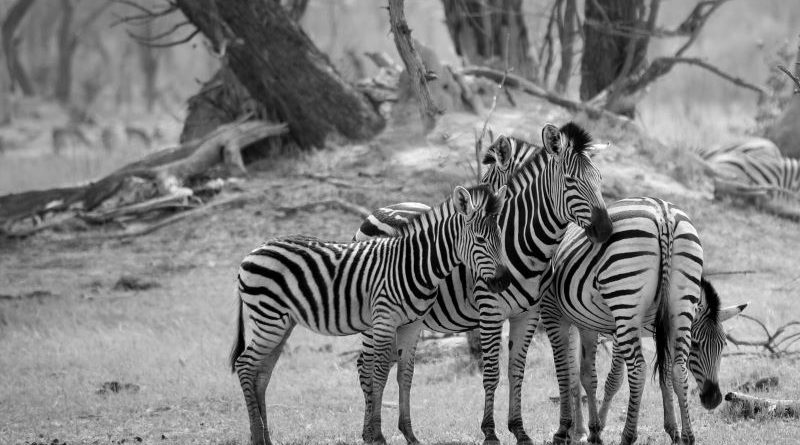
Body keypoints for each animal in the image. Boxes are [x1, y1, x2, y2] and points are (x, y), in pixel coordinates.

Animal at [230, 184, 510, 445]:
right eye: (480, 240)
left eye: (501, 237)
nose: (504, 281)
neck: (414, 265)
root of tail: (254, 251)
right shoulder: (385, 320)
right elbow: (379, 372)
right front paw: (377, 435)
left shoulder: (411, 325)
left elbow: (405, 375)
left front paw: (409, 434)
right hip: (269, 318)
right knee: (245, 365)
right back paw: (257, 436)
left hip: (282, 324)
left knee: (261, 374)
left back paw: (266, 438)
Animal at [354, 122, 613, 445]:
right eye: (570, 181)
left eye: (600, 179)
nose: (606, 230)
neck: (525, 243)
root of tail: (377, 211)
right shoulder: (491, 311)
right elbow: (492, 372)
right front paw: (490, 431)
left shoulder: (528, 313)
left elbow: (517, 371)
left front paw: (520, 430)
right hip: (373, 315)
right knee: (365, 365)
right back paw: (368, 432)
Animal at [538, 197, 747, 445]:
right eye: (696, 346)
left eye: (723, 346)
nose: (713, 399)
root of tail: (664, 216)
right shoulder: (623, 330)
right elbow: (615, 379)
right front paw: (599, 426)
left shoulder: (661, 330)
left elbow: (666, 375)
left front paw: (673, 430)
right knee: (577, 372)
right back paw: (584, 431)